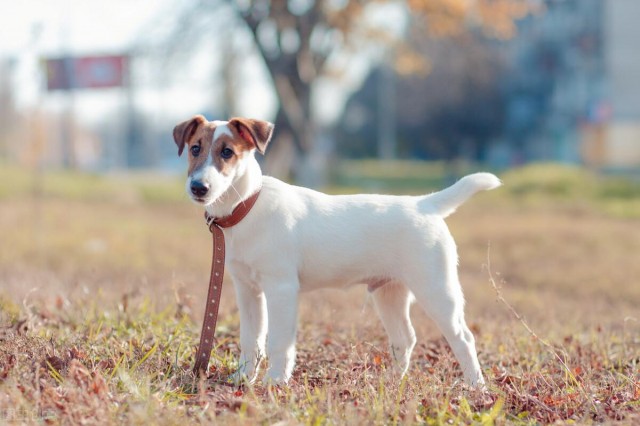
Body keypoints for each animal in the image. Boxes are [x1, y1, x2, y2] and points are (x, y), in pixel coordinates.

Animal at [174, 115, 500, 388]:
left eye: (227, 152)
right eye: (195, 148)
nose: (199, 187)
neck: (247, 206)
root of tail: (425, 204)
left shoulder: (281, 289)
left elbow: (278, 341)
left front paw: (275, 381)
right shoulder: (248, 290)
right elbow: (251, 338)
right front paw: (243, 378)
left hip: (437, 290)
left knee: (463, 338)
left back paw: (476, 387)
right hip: (389, 292)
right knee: (405, 338)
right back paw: (392, 382)